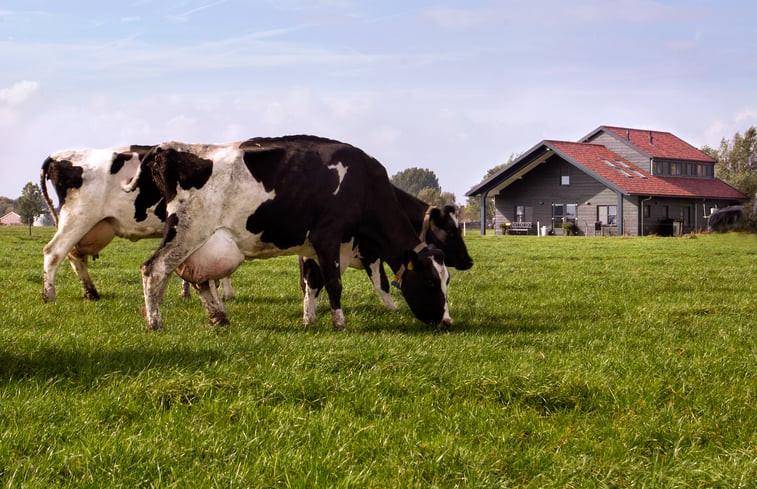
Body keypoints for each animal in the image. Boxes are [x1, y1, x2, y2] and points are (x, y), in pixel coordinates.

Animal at [38, 147, 232, 304]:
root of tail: (56, 156)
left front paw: (187, 294)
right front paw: (226, 295)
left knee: (75, 256)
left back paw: (91, 293)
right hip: (77, 219)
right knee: (53, 252)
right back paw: (49, 297)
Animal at [127, 135, 452, 330]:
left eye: (447, 280)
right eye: (430, 282)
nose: (447, 321)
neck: (363, 184)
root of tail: (166, 147)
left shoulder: (313, 246)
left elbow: (313, 282)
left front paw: (310, 320)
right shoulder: (328, 236)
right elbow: (334, 283)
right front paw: (339, 323)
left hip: (205, 240)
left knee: (199, 280)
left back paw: (219, 317)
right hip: (188, 229)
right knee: (154, 268)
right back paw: (155, 323)